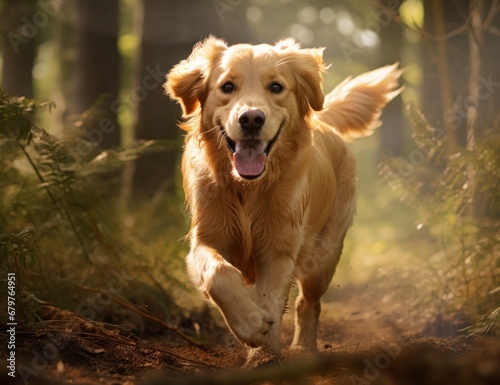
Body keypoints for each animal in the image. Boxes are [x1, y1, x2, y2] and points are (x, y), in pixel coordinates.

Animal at [166, 36, 400, 366]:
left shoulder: (279, 249)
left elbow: (272, 301)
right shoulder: (205, 239)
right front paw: (250, 324)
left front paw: (263, 354)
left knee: (308, 303)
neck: (248, 188)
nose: (251, 119)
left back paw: (303, 347)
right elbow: (218, 274)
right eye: (227, 86)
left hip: (323, 255)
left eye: (276, 87)